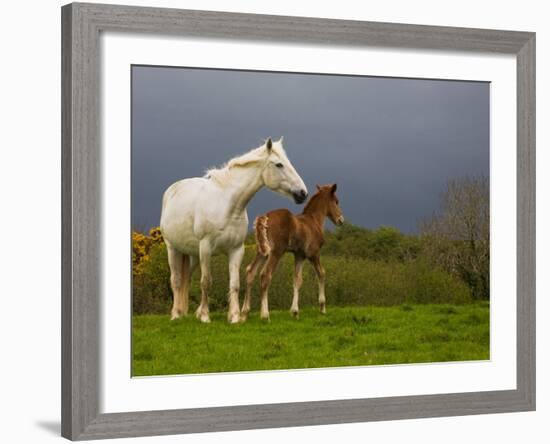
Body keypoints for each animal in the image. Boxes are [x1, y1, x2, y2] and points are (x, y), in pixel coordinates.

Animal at [160, 138, 308, 322]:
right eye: (279, 164)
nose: (302, 193)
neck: (227, 206)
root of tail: (172, 190)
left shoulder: (237, 250)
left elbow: (235, 284)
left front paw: (235, 317)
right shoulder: (206, 248)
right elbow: (206, 281)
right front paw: (205, 317)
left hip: (192, 254)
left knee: (186, 279)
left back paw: (184, 312)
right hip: (173, 249)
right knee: (176, 280)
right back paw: (175, 315)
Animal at [242, 182, 344, 320]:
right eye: (336, 201)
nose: (341, 220)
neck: (313, 221)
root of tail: (265, 218)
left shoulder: (299, 255)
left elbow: (297, 280)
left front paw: (295, 311)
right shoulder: (314, 254)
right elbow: (321, 273)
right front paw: (322, 307)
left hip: (262, 251)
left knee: (250, 272)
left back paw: (244, 313)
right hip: (276, 252)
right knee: (265, 275)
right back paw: (265, 315)